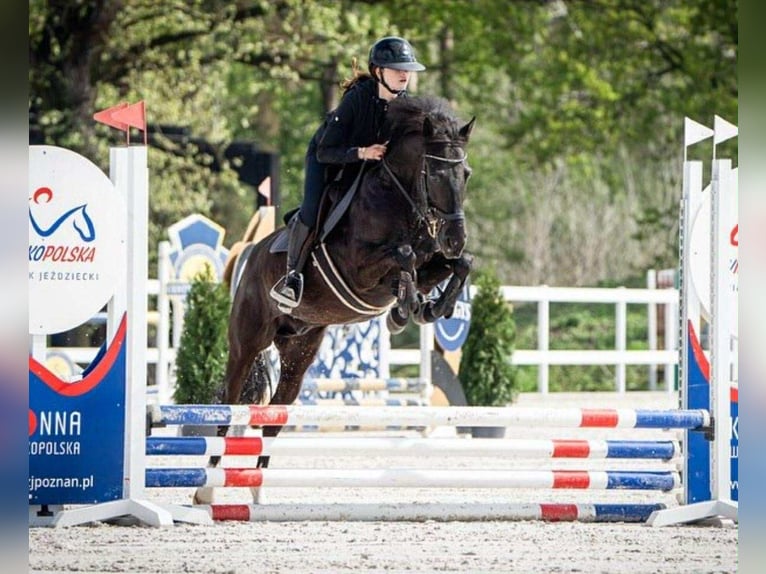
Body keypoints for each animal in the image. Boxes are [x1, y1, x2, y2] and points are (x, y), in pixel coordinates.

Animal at [196, 96, 475, 503]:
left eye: (465, 173)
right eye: (436, 174)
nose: (455, 237)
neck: (398, 198)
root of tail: (247, 258)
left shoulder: (429, 262)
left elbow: (459, 264)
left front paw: (431, 307)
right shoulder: (359, 270)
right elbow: (404, 255)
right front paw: (404, 311)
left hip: (298, 351)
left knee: (274, 416)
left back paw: (257, 491)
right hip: (246, 343)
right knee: (228, 404)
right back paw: (206, 490)